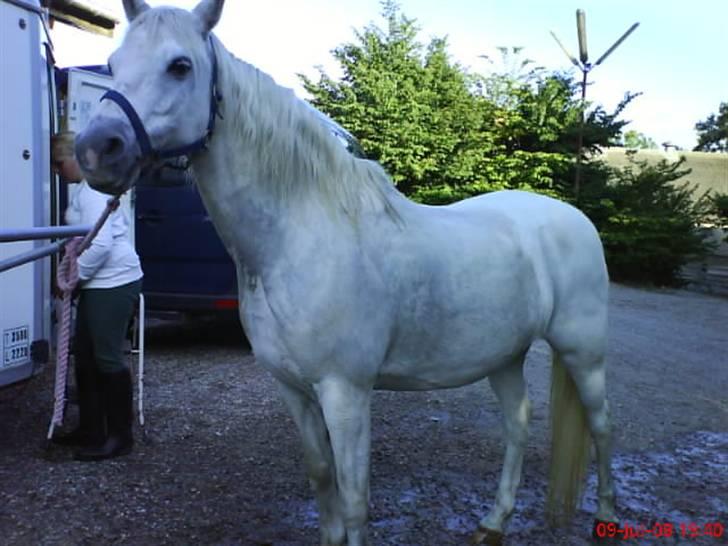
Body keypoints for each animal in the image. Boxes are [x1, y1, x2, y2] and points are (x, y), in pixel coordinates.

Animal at [75, 1, 618, 544]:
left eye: (180, 65)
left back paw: (606, 516)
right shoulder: (294, 390)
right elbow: (321, 476)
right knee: (517, 424)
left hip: (583, 354)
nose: (96, 149)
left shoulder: (345, 393)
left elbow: (355, 498)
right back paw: (493, 521)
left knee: (601, 427)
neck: (300, 236)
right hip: (504, 355)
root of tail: (573, 217)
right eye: (115, 62)